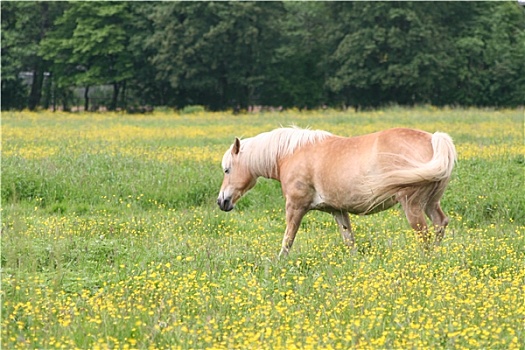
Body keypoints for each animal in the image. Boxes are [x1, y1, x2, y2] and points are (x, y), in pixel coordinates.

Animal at [216, 126, 454, 258]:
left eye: (227, 169)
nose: (221, 201)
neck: (291, 154)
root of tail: (434, 139)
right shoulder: (338, 211)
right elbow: (348, 239)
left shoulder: (295, 207)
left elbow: (288, 238)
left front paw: (279, 262)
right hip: (430, 203)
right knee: (440, 223)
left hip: (412, 205)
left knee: (424, 234)